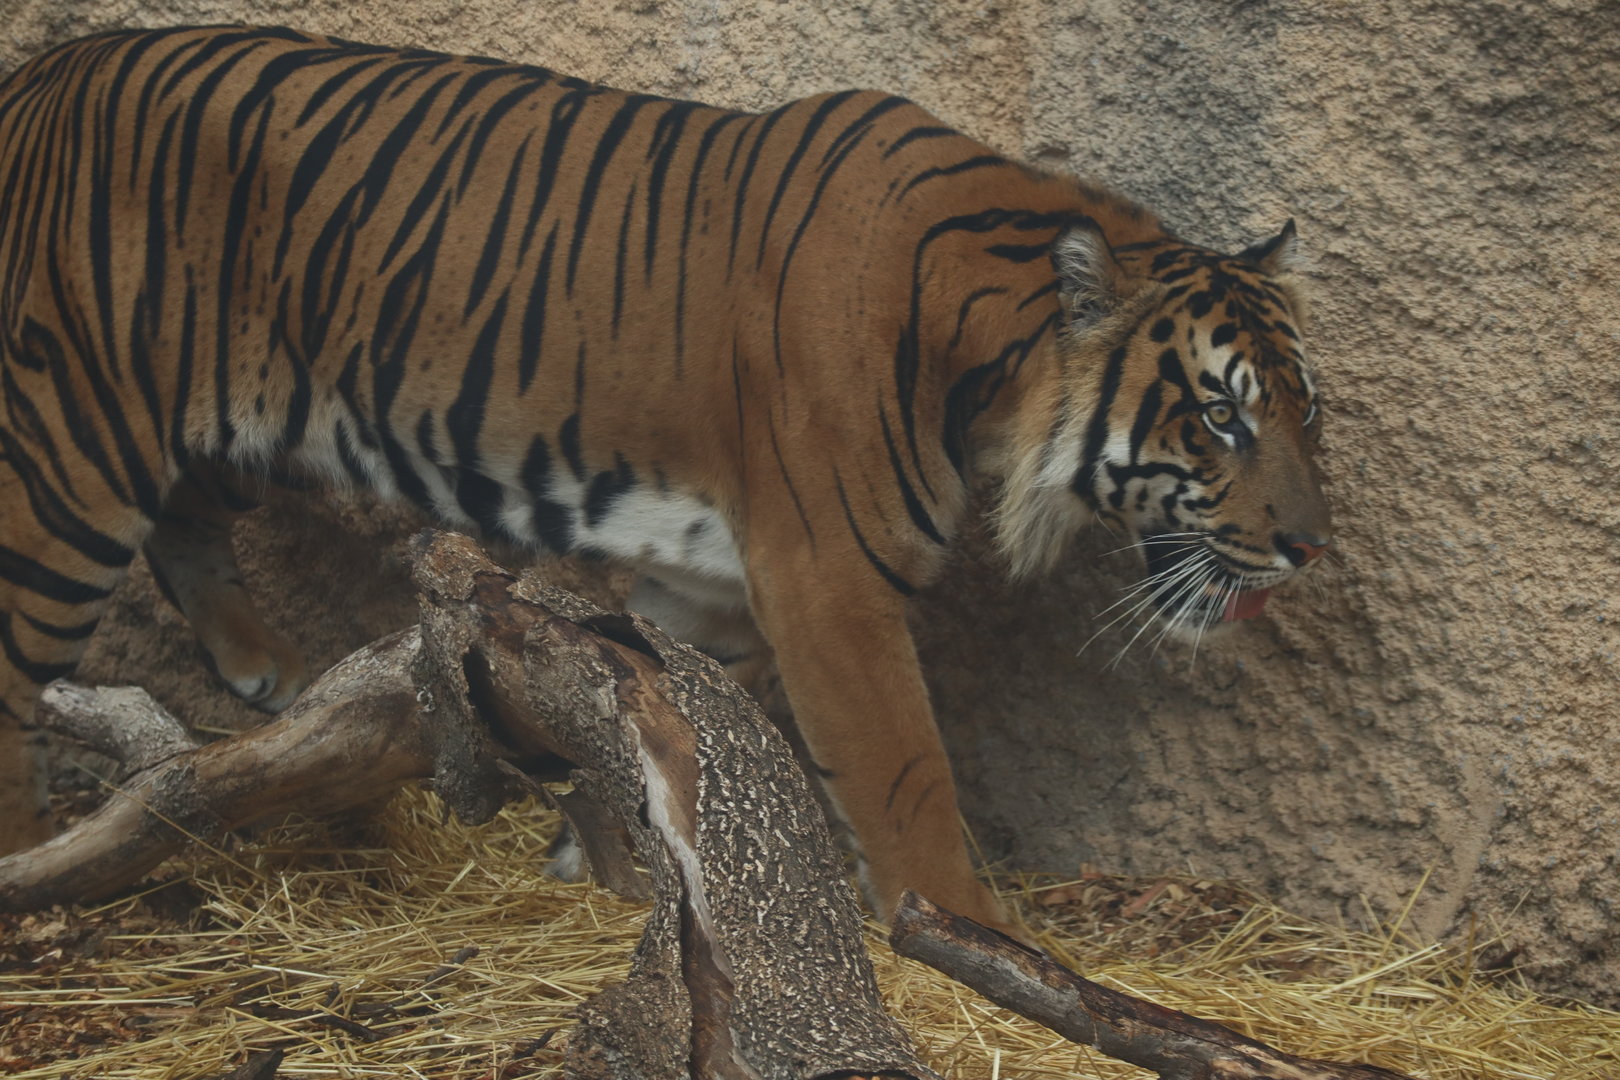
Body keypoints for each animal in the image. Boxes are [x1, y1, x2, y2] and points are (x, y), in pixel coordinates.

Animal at [0, 25, 1331, 931]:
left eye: (1302, 410)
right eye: (1220, 416)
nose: (1311, 547)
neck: (988, 371)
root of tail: (41, 74)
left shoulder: (714, 585)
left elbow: (659, 729)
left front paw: (614, 873)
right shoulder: (828, 585)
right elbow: (903, 775)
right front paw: (977, 942)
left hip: (226, 427)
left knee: (188, 520)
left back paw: (265, 664)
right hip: (70, 447)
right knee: (22, 655)